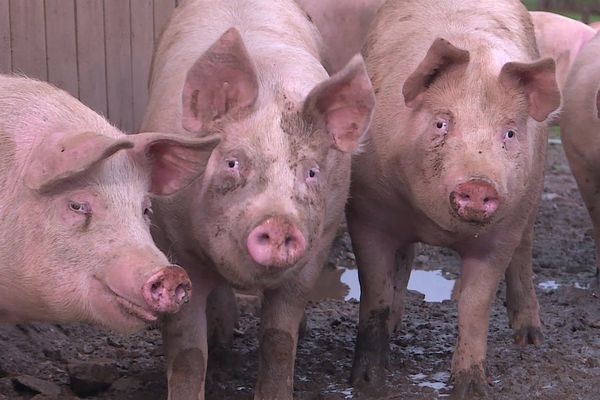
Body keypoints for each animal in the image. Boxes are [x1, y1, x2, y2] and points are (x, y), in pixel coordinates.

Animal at [141, 0, 376, 400]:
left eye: (311, 172)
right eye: (233, 162)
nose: (279, 222)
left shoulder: (319, 244)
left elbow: (278, 338)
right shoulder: (171, 242)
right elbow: (188, 351)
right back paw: (221, 341)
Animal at [346, 1, 564, 398]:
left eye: (509, 132)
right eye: (441, 123)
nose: (478, 184)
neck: (435, 227)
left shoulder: (502, 233)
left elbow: (475, 307)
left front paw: (472, 388)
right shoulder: (366, 214)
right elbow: (376, 294)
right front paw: (366, 384)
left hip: (533, 194)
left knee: (525, 250)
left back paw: (530, 338)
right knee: (405, 258)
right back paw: (396, 326)